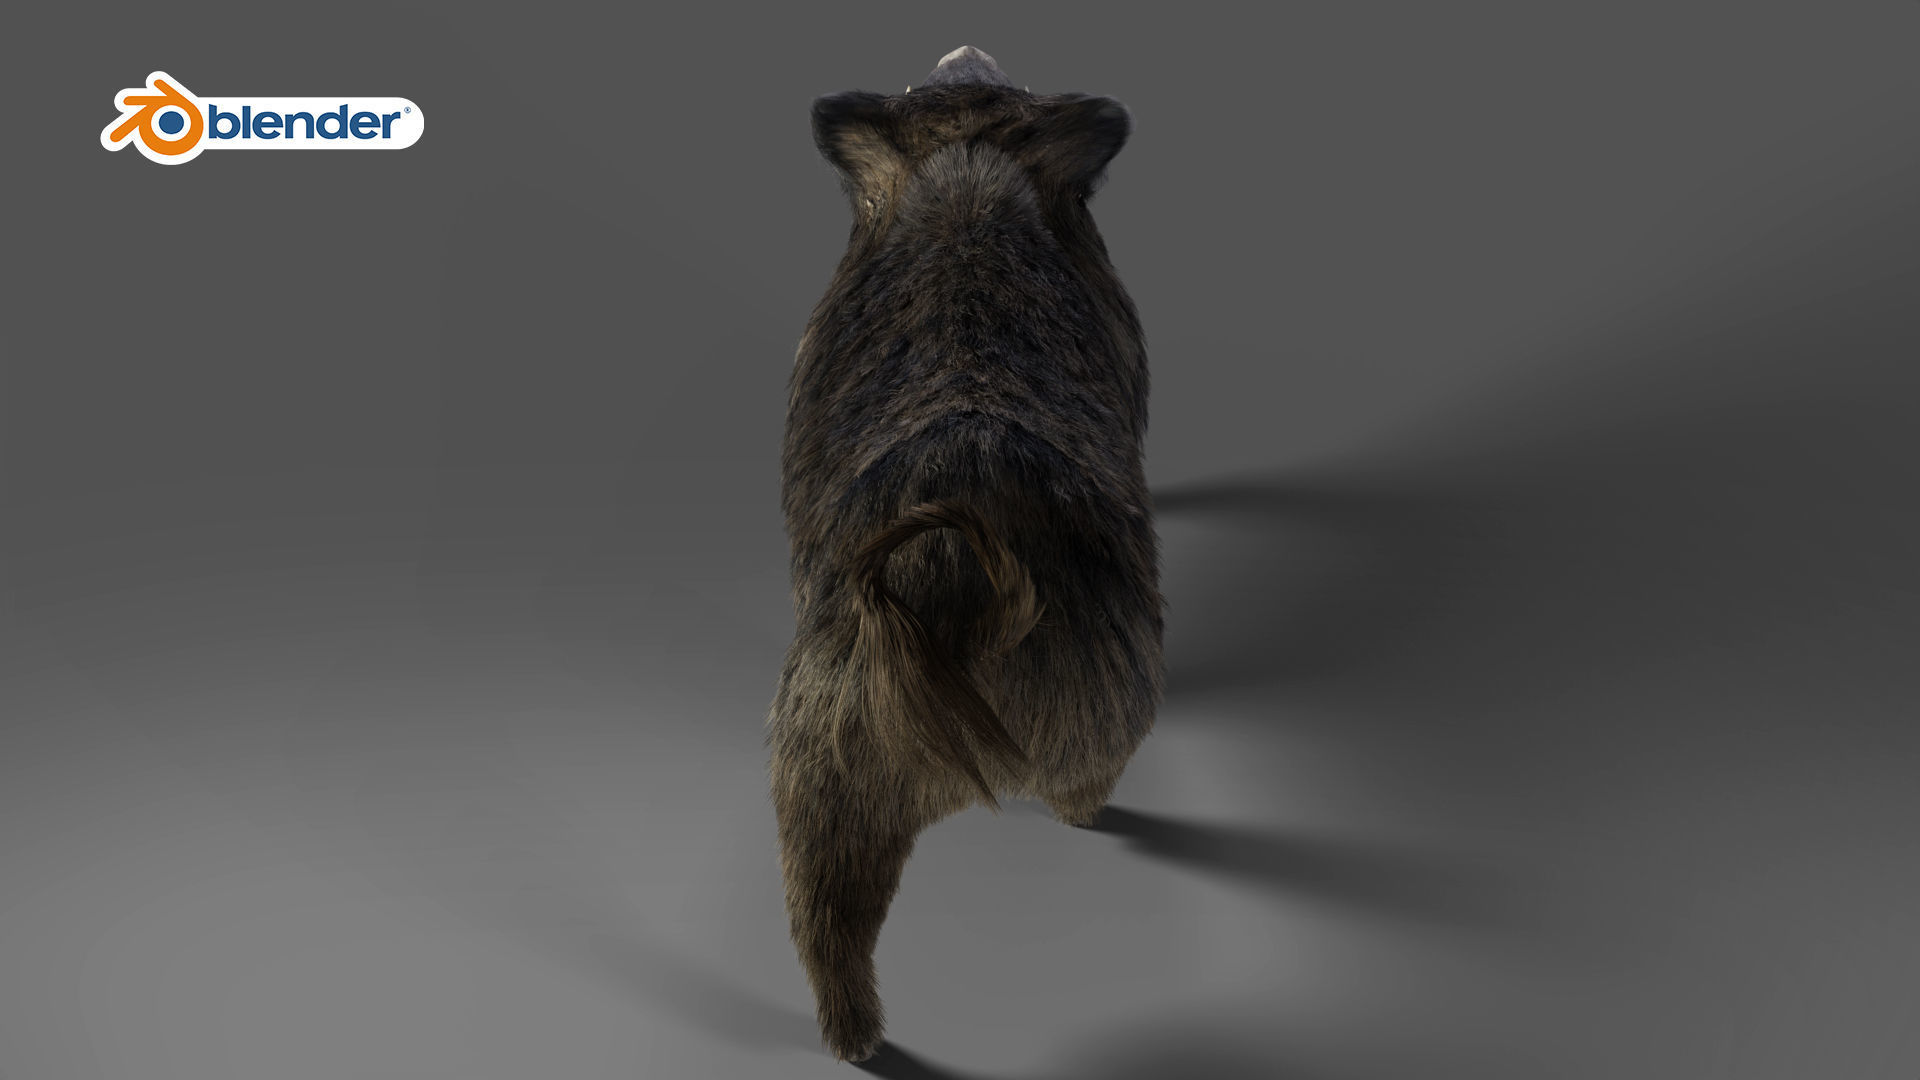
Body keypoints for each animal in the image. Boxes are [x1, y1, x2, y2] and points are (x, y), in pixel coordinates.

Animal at [768, 45, 1162, 1062]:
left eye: (1007, 88)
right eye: (918, 91)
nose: (960, 51)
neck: (966, 177)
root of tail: (952, 567)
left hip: (822, 772)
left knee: (829, 924)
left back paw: (859, 1044)